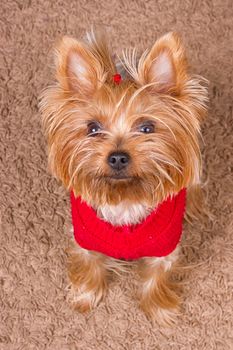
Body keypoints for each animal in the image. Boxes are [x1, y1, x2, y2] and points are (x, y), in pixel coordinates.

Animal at [39, 30, 208, 326]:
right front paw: (85, 296)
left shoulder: (164, 246)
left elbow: (156, 276)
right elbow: (90, 264)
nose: (118, 157)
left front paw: (160, 311)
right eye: (92, 128)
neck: (125, 197)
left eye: (147, 128)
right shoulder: (85, 238)